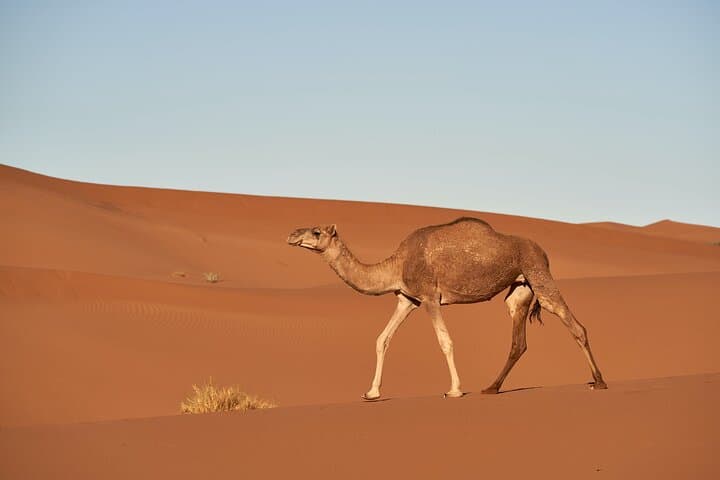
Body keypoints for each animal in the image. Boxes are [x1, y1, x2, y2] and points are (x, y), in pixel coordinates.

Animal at [287, 217, 607, 400]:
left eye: (316, 232)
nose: (292, 235)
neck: (396, 265)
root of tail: (543, 250)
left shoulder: (430, 297)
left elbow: (445, 341)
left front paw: (454, 390)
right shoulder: (407, 299)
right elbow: (382, 339)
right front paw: (372, 392)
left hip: (538, 272)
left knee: (573, 323)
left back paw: (600, 382)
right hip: (520, 286)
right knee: (519, 340)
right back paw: (491, 388)